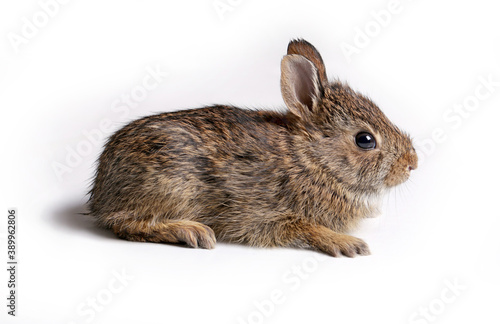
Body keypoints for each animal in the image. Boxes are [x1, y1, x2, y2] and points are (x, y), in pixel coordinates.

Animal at [90, 38, 418, 256]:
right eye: (365, 140)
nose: (412, 163)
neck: (312, 160)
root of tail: (100, 189)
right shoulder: (269, 216)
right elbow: (304, 229)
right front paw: (349, 244)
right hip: (170, 185)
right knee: (126, 224)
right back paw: (191, 231)